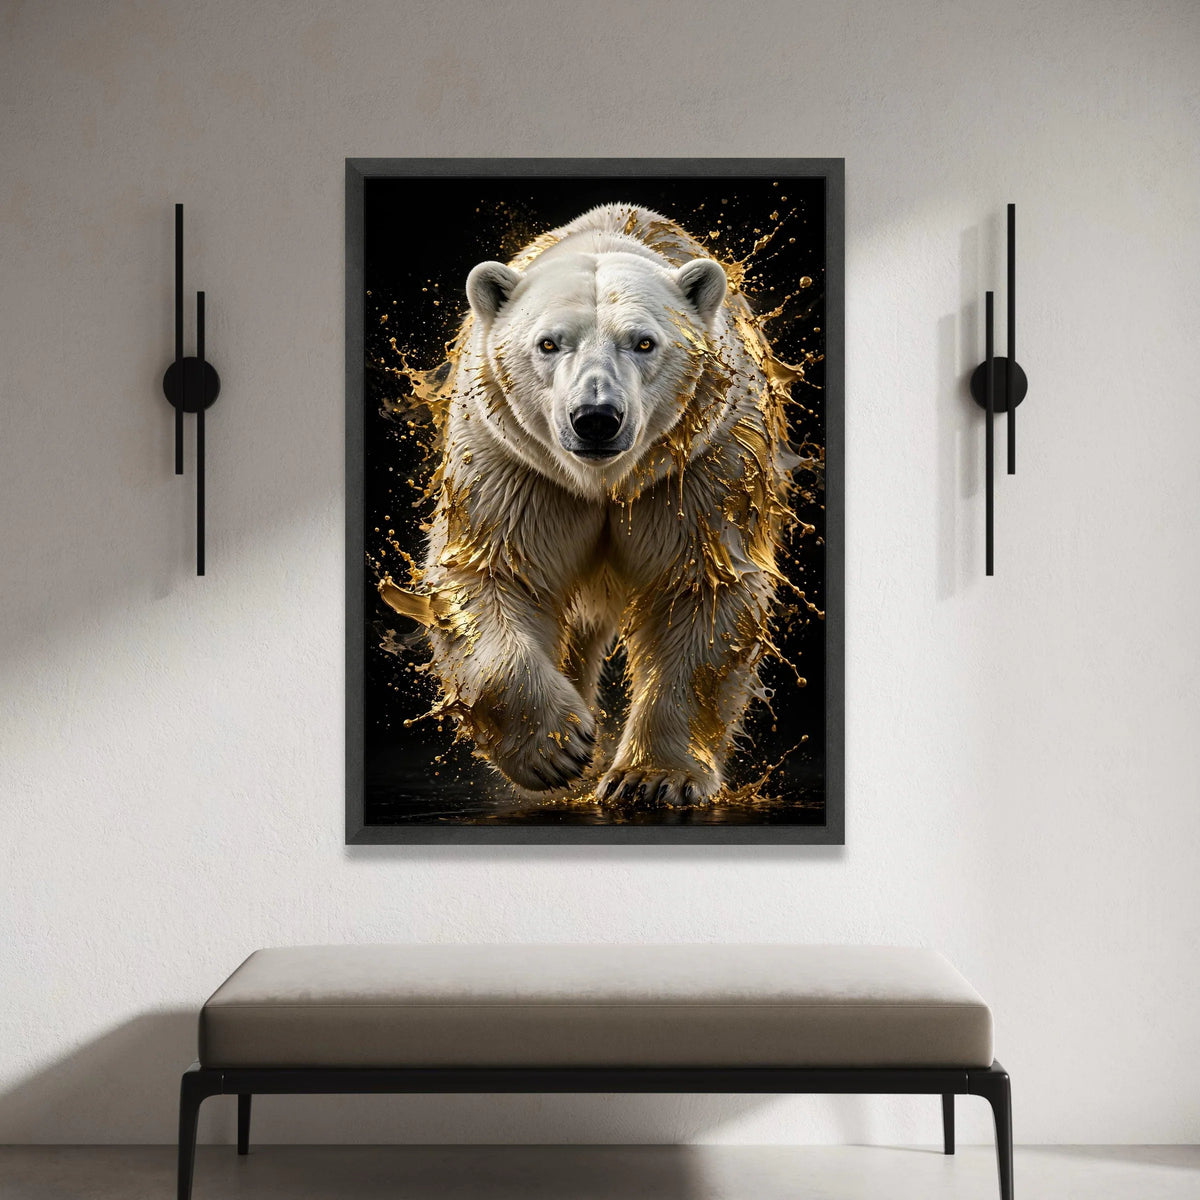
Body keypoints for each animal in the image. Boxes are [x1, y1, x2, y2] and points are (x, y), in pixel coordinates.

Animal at [384, 203, 796, 806]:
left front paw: (652, 778)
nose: (596, 417)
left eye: (644, 342)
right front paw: (557, 749)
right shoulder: (517, 468)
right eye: (549, 343)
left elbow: (705, 585)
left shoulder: (697, 467)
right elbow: (489, 574)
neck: (601, 481)